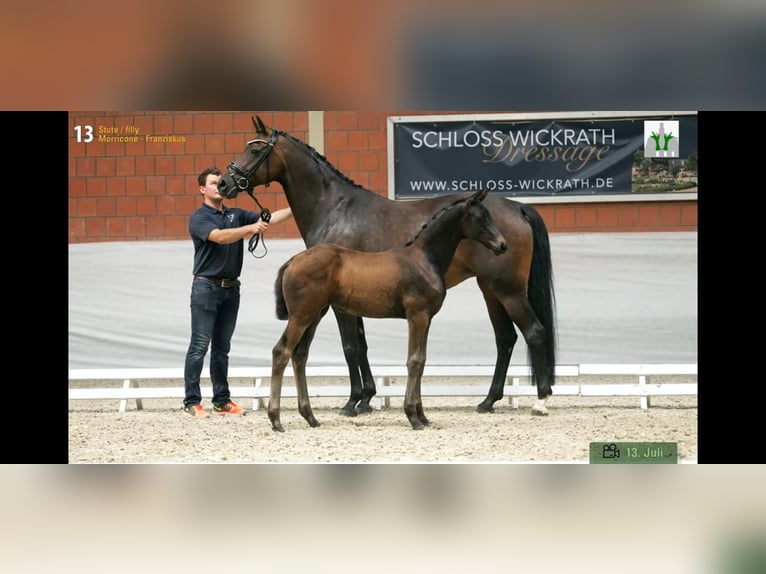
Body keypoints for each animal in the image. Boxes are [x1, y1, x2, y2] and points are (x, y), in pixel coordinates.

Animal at [270, 190, 510, 432]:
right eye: (481, 218)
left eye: (489, 216)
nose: (502, 245)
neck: (424, 258)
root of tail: (293, 261)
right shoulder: (416, 316)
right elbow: (414, 361)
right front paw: (413, 416)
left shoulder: (427, 318)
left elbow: (422, 360)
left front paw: (422, 416)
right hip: (301, 316)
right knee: (281, 352)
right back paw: (276, 419)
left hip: (314, 315)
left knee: (300, 355)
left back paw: (310, 417)